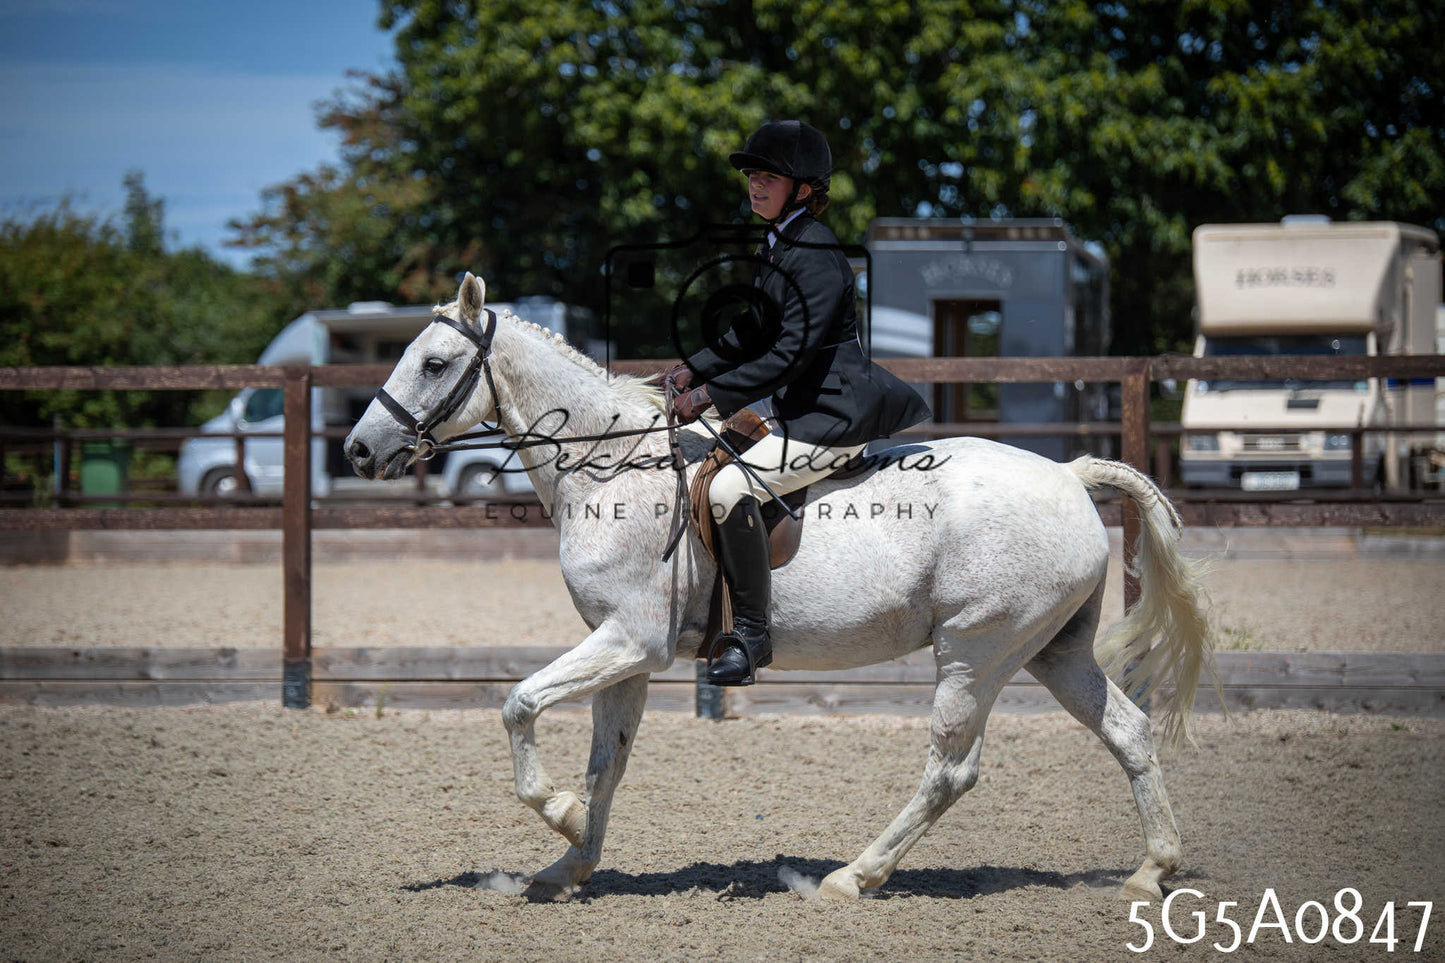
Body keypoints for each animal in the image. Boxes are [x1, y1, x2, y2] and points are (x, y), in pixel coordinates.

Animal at [344, 273, 1216, 902]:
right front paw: (569, 864)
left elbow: (518, 703)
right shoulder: (625, 654)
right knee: (1128, 732)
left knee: (950, 768)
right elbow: (605, 762)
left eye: (432, 364)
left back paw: (850, 877)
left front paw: (555, 814)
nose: (357, 449)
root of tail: (1069, 473)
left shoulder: (629, 640)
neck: (611, 467)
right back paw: (1151, 870)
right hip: (1051, 650)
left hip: (977, 649)